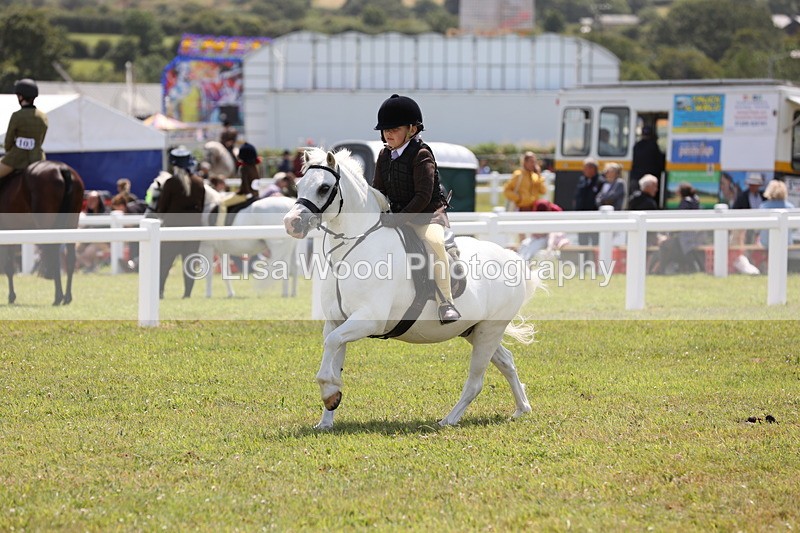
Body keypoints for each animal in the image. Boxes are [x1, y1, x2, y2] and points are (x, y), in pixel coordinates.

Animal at [0, 160, 85, 305]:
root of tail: (62, 168)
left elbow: (8, 265)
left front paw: (11, 296)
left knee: (54, 253)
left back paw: (58, 297)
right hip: (71, 223)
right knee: (70, 257)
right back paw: (67, 297)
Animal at [283, 148, 540, 429]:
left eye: (324, 187)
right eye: (299, 186)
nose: (291, 223)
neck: (355, 248)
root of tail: (511, 257)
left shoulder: (367, 320)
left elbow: (330, 350)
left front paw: (329, 393)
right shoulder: (336, 322)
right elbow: (332, 354)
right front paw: (328, 413)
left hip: (489, 330)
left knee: (476, 381)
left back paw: (448, 420)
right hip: (475, 330)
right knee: (507, 362)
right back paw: (522, 408)